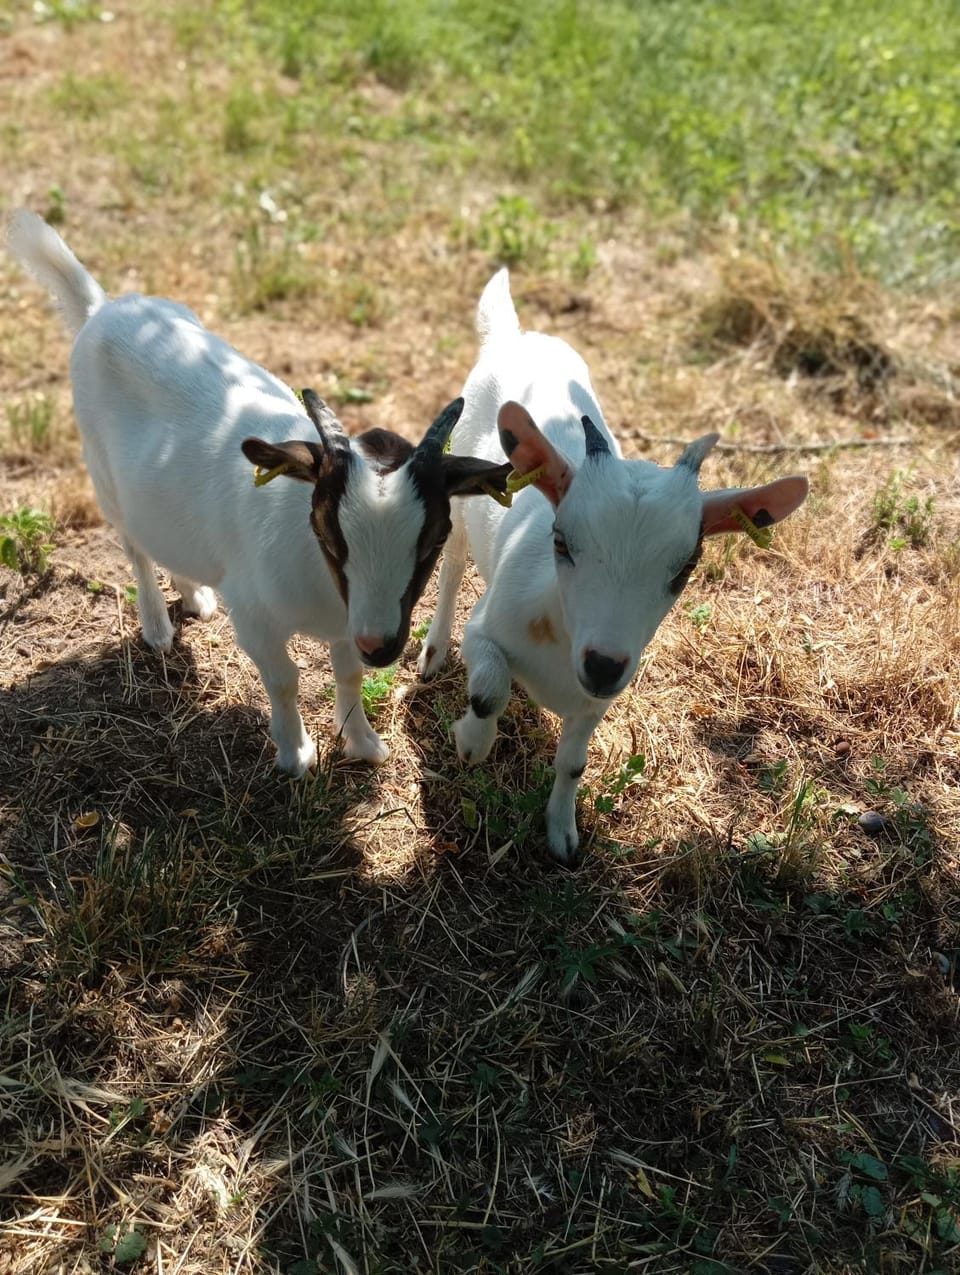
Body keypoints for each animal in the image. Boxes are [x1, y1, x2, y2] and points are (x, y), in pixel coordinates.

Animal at [6, 210, 512, 775]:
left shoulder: (348, 620)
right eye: (328, 536)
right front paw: (295, 754)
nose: (381, 646)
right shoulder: (254, 615)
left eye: (433, 541)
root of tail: (103, 309)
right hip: (102, 471)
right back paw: (157, 628)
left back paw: (194, 596)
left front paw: (362, 743)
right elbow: (285, 679)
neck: (321, 582)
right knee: (134, 545)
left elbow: (349, 674)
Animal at [418, 269, 810, 863]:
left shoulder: (598, 702)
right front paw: (469, 743)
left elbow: (573, 764)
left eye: (686, 567)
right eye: (561, 542)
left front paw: (562, 833)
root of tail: (517, 335)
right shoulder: (487, 629)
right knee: (453, 567)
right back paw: (433, 652)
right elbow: (489, 689)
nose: (603, 663)